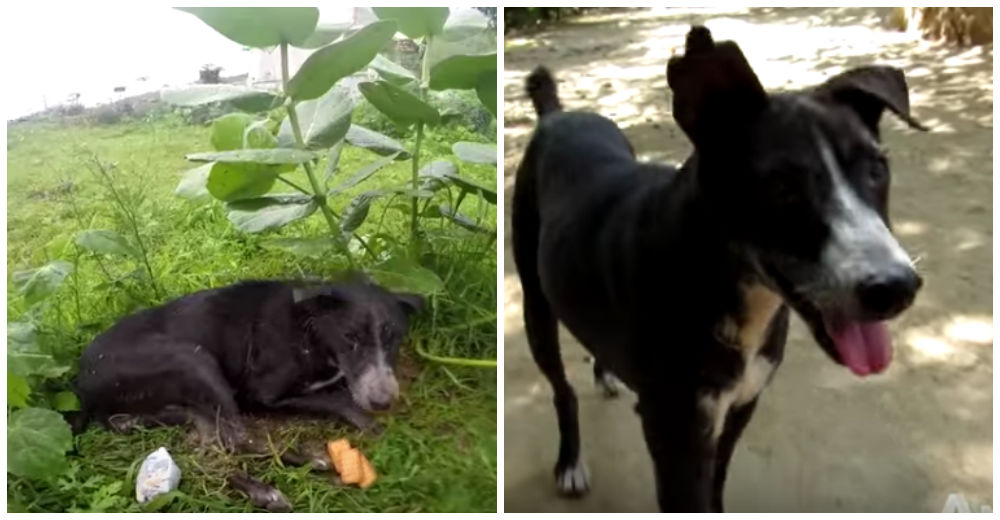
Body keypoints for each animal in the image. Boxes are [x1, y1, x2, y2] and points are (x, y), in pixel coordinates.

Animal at [73, 278, 422, 510]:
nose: (384, 401)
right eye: (350, 336)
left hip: (193, 397)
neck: (309, 329)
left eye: (393, 337)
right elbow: (338, 400)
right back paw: (272, 486)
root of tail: (81, 381)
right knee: (237, 441)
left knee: (213, 447)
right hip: (193, 359)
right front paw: (370, 422)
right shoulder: (262, 395)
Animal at [516, 26, 928, 510]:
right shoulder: (676, 434)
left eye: (877, 169)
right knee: (562, 390)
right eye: (782, 186)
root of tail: (556, 116)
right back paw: (569, 462)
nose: (897, 287)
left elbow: (718, 481)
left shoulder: (741, 406)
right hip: (535, 304)